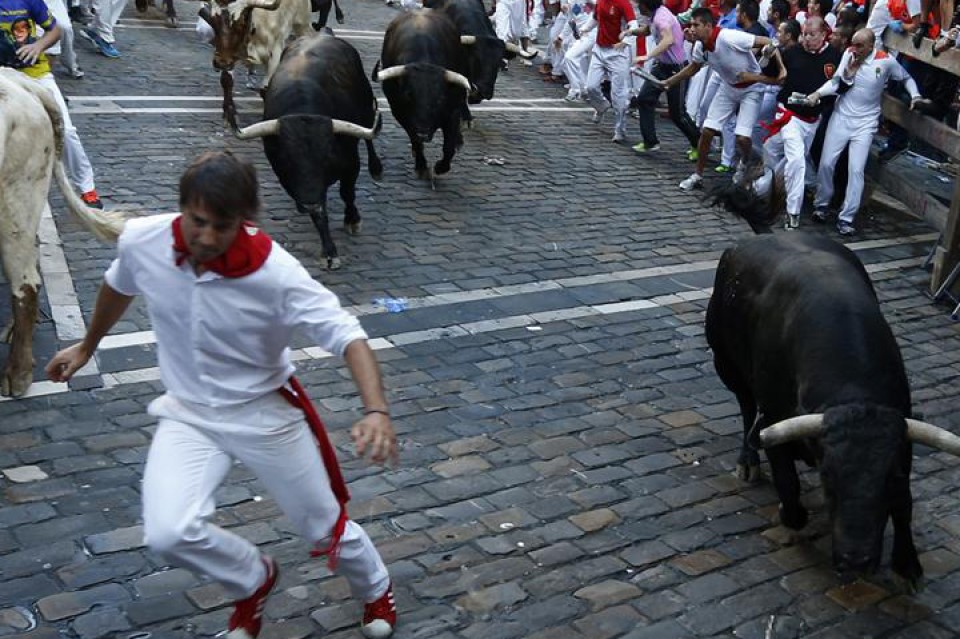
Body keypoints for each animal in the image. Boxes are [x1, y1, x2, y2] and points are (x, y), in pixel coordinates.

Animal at [200, 0, 312, 129]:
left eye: (241, 23)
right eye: (213, 21)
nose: (220, 62)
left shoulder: (276, 50)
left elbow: (265, 89)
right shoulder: (229, 56)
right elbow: (226, 81)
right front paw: (229, 116)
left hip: (302, 23)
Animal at [234, 32, 380, 270]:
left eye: (327, 156)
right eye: (285, 159)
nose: (308, 202)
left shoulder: (351, 162)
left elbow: (347, 192)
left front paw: (352, 220)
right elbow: (319, 213)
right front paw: (328, 251)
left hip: (367, 109)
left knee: (369, 137)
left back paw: (377, 168)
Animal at [374, 11, 470, 180]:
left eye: (440, 98)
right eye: (408, 95)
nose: (423, 133)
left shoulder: (452, 109)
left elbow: (449, 145)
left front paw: (441, 167)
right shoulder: (400, 112)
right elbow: (414, 139)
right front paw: (421, 166)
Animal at [704, 235, 960, 592]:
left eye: (891, 476)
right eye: (828, 475)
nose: (857, 559)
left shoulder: (902, 442)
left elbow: (904, 504)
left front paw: (907, 564)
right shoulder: (773, 420)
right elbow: (788, 485)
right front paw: (788, 512)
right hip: (726, 363)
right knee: (745, 405)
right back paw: (748, 461)